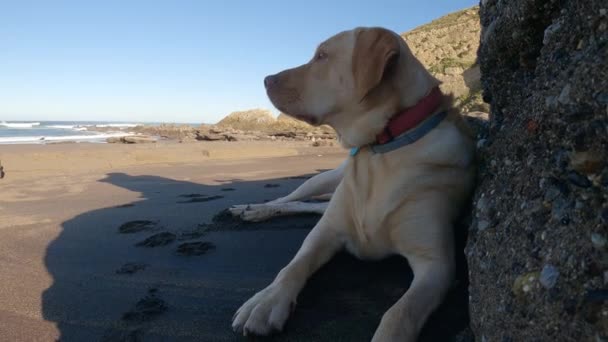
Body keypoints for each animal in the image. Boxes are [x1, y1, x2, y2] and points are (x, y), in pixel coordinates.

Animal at [230, 27, 478, 342]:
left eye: (322, 55)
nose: (266, 79)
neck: (379, 148)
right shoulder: (325, 232)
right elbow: (292, 267)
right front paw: (266, 301)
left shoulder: (437, 265)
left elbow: (398, 314)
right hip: (324, 179)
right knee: (291, 198)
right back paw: (250, 208)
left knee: (310, 206)